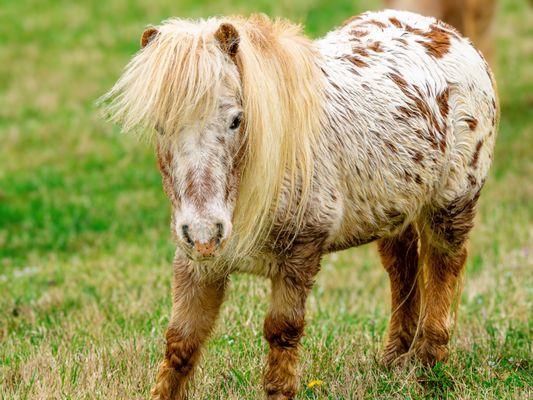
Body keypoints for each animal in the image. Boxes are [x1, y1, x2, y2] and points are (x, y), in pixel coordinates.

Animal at [101, 9, 498, 400]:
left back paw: (428, 367)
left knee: (444, 266)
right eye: (160, 126)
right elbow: (181, 341)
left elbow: (283, 331)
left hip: (451, 205)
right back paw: (395, 358)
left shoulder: (300, 252)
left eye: (236, 120)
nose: (204, 233)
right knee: (402, 268)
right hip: (393, 212)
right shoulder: (198, 264)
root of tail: (449, 35)